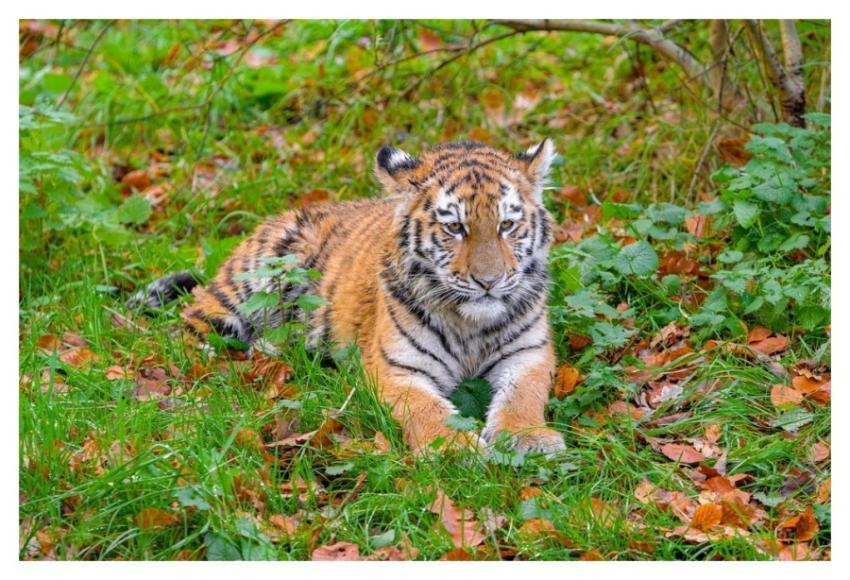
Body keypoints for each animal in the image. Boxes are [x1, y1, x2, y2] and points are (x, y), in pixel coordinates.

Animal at [129, 139, 566, 455]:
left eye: (506, 225)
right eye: (455, 227)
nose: (489, 281)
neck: (471, 323)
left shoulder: (528, 353)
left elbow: (523, 396)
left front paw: (529, 438)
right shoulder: (397, 368)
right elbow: (426, 409)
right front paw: (454, 448)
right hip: (252, 280)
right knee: (191, 326)